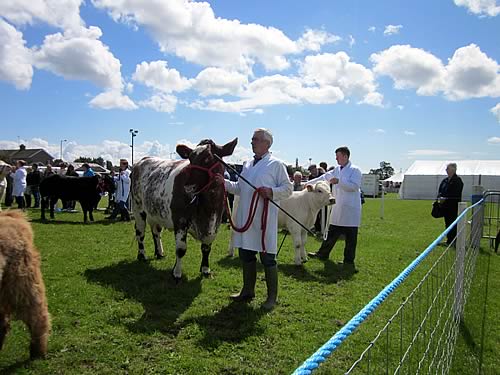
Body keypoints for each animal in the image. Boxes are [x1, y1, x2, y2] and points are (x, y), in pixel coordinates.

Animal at [130, 138, 237, 282]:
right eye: (190, 159)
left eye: (208, 158)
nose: (188, 186)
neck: (208, 208)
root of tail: (143, 160)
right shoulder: (180, 221)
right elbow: (181, 249)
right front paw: (177, 273)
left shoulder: (214, 224)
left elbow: (206, 247)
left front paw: (205, 269)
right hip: (138, 208)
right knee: (140, 233)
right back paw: (142, 255)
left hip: (154, 211)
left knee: (156, 232)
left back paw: (159, 253)